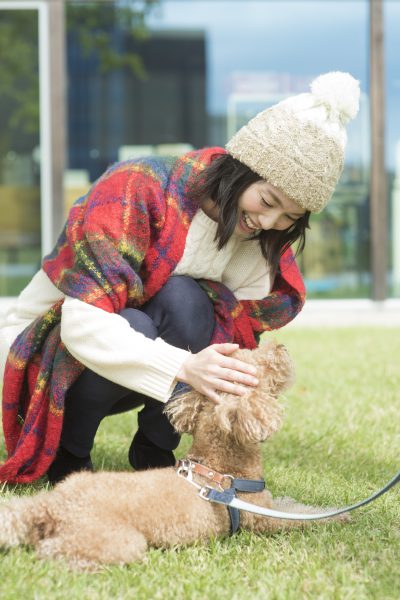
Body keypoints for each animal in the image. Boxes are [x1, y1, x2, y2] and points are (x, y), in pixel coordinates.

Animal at [0, 340, 345, 569]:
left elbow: (296, 506)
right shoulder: (262, 519)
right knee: (52, 550)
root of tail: (52, 505)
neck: (220, 468)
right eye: (255, 365)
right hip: (118, 540)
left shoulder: (269, 505)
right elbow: (300, 517)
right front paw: (340, 515)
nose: (280, 345)